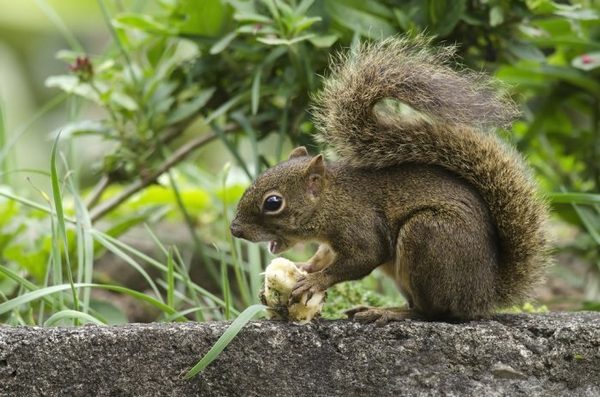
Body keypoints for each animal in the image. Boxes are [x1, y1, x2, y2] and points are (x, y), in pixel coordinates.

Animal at [232, 36, 552, 322]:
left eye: (273, 203)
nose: (235, 229)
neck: (332, 199)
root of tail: (484, 295)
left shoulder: (358, 223)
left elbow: (364, 257)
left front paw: (315, 281)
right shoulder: (331, 241)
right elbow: (323, 255)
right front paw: (305, 266)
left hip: (427, 237)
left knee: (431, 312)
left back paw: (387, 312)